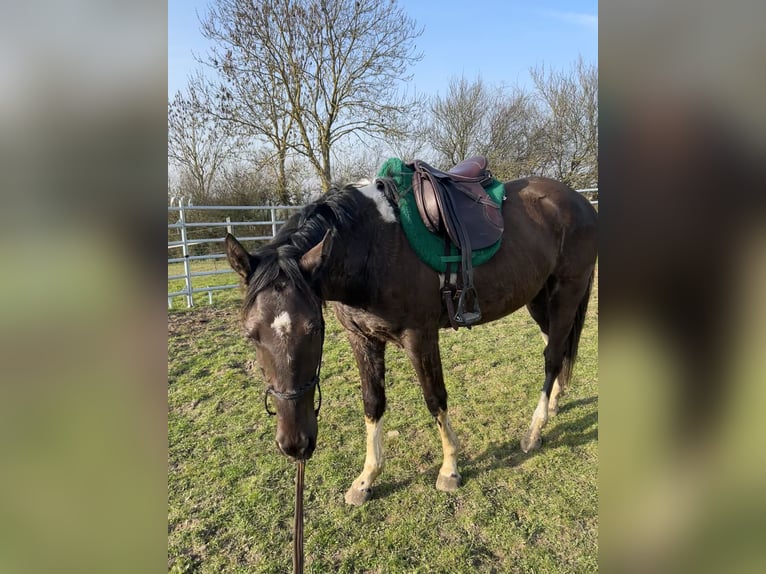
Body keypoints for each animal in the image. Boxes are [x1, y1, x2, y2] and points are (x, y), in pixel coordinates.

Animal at [225, 173, 597, 505]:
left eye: (313, 328)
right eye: (250, 334)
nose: (295, 444)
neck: (371, 246)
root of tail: (579, 202)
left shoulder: (420, 336)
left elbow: (435, 398)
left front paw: (449, 470)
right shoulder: (362, 339)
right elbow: (373, 403)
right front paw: (366, 480)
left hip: (566, 293)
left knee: (552, 356)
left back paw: (534, 432)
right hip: (539, 299)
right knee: (557, 347)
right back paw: (554, 403)